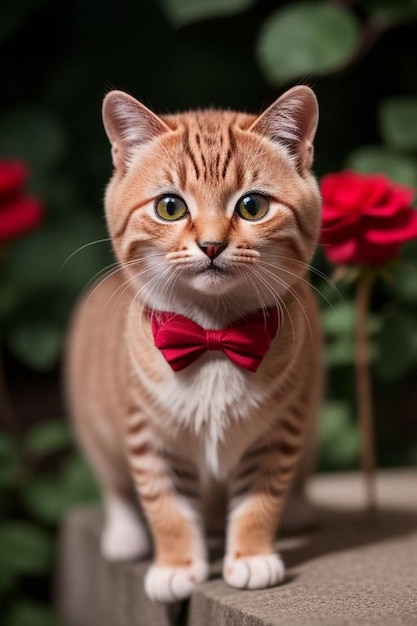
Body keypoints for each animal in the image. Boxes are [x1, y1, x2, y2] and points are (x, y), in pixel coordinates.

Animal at [66, 85, 322, 604]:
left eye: (251, 206)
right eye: (170, 206)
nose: (211, 245)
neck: (214, 338)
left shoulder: (280, 430)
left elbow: (261, 498)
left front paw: (252, 556)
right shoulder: (149, 437)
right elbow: (166, 507)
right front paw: (177, 566)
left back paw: (298, 508)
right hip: (94, 424)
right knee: (114, 484)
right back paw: (125, 534)